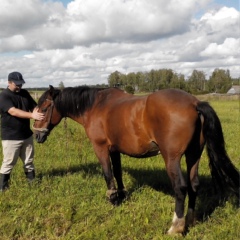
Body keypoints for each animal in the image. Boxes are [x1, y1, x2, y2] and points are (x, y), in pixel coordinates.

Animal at [33, 85, 238, 235]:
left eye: (44, 109)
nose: (37, 135)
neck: (95, 106)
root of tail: (194, 102)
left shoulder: (101, 148)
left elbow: (108, 174)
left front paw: (112, 199)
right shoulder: (115, 150)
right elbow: (117, 172)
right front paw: (121, 196)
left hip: (172, 158)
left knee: (181, 187)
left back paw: (176, 227)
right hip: (193, 155)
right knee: (194, 184)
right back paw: (190, 220)